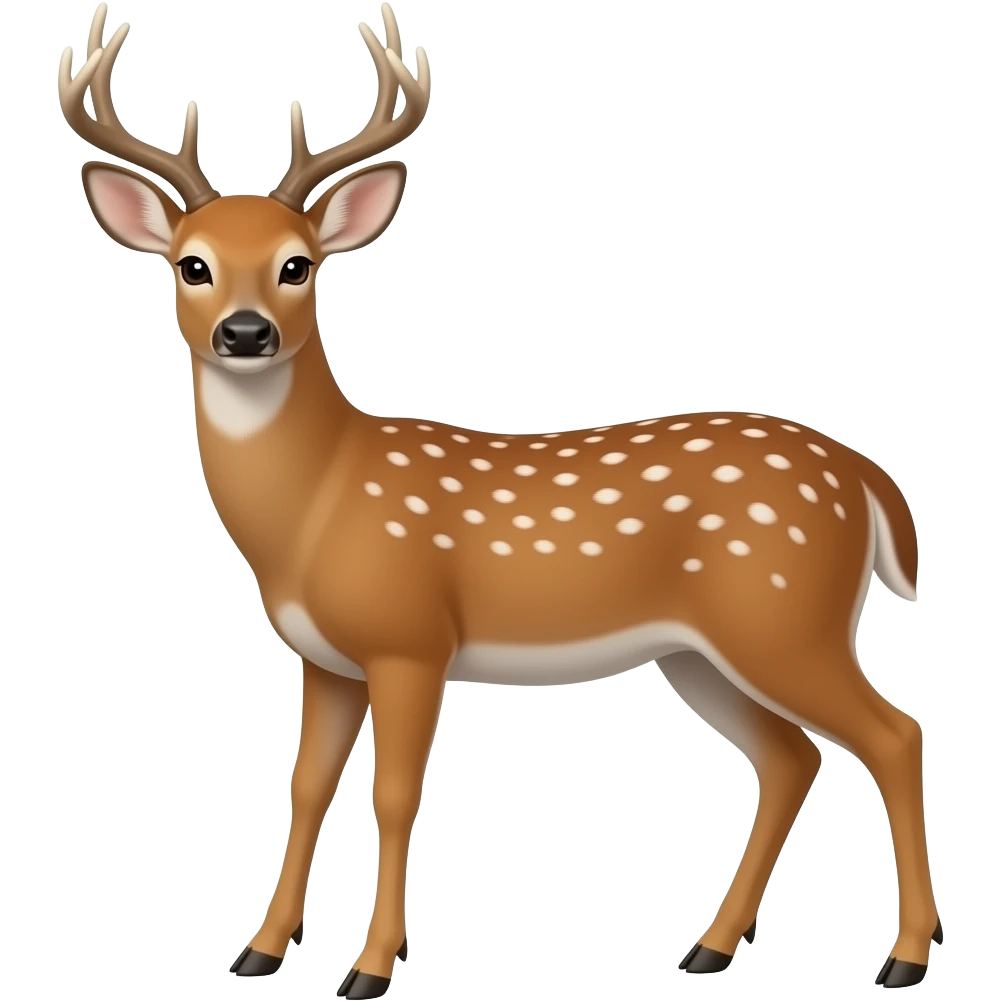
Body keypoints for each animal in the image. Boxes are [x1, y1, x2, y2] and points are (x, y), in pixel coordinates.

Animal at [58, 4, 939, 995]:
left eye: (298, 266)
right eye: (191, 265)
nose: (245, 334)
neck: (315, 507)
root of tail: (864, 477)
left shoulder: (411, 638)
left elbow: (394, 795)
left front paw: (370, 967)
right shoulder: (325, 658)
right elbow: (305, 785)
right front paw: (258, 949)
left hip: (786, 614)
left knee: (894, 734)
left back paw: (902, 956)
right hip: (702, 651)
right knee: (791, 756)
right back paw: (708, 945)